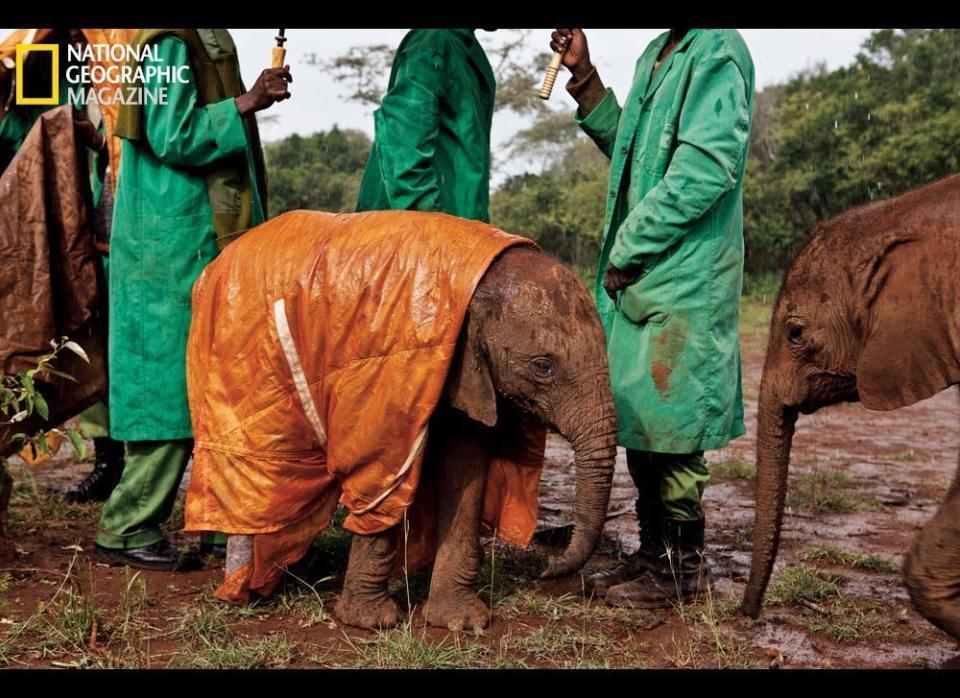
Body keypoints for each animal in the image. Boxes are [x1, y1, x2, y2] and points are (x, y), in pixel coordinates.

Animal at [187, 208, 620, 632]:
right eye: (543, 367)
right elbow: (381, 470)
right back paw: (248, 587)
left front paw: (460, 622)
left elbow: (466, 466)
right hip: (237, 361)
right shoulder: (388, 371)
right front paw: (370, 623)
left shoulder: (469, 371)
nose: (545, 569)